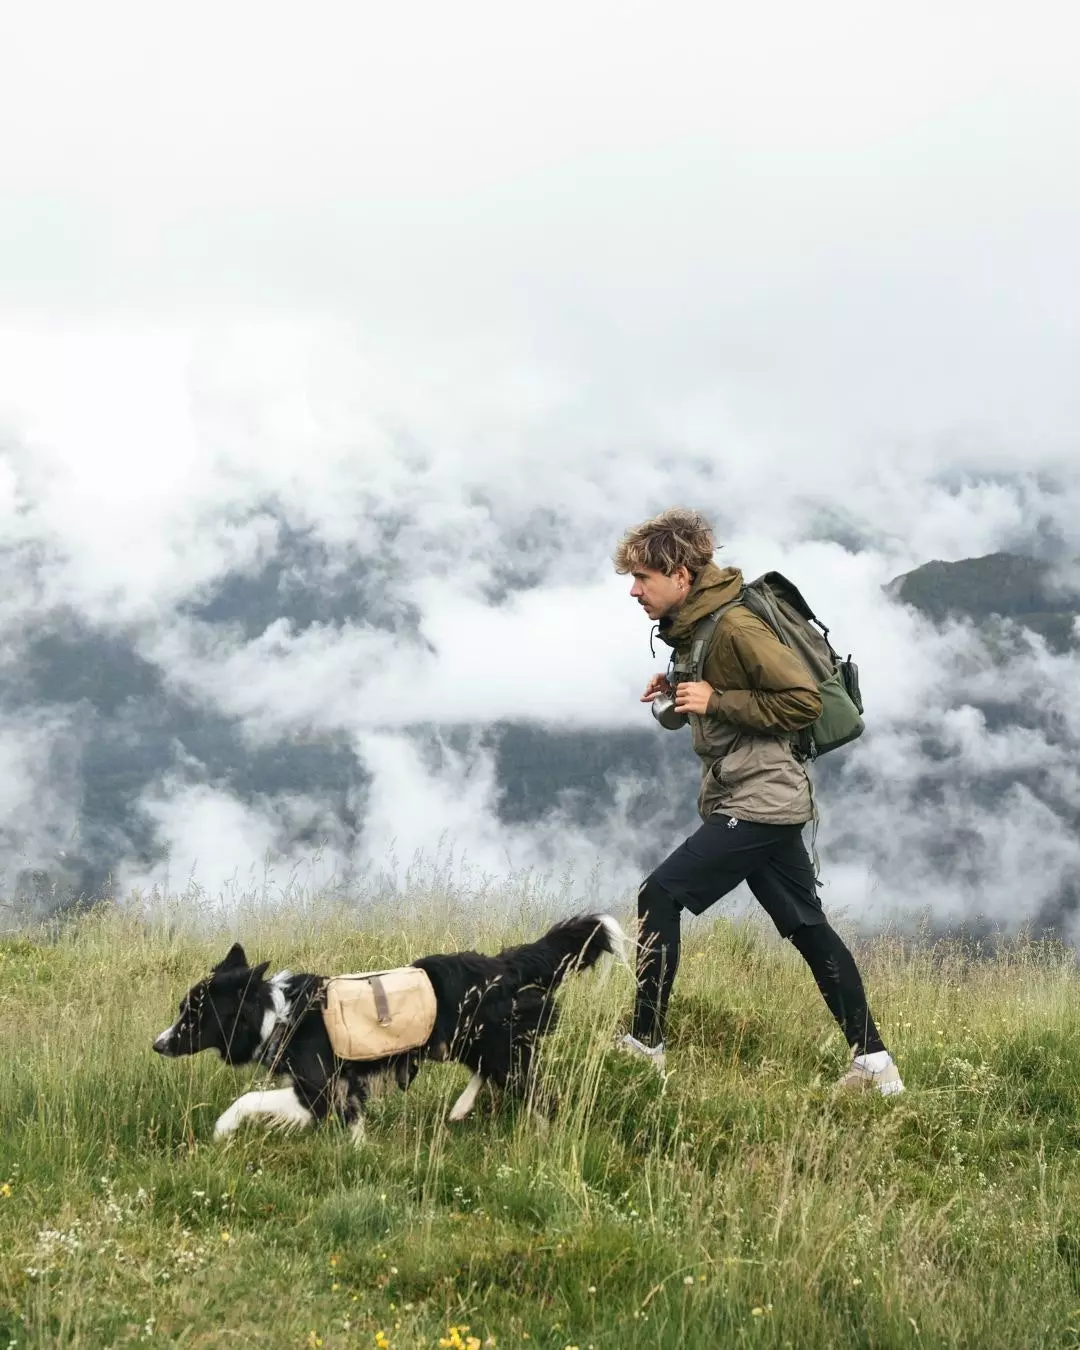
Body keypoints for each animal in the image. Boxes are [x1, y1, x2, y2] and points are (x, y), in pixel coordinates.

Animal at [149, 918, 623, 1139]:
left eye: (193, 1015)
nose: (157, 1045)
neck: (277, 1014)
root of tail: (502, 964)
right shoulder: (347, 1086)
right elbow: (355, 1126)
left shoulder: (317, 1090)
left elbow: (249, 1099)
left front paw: (222, 1129)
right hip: (468, 1044)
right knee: (485, 1074)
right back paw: (460, 1109)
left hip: (496, 1048)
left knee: (539, 1093)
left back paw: (542, 1136)